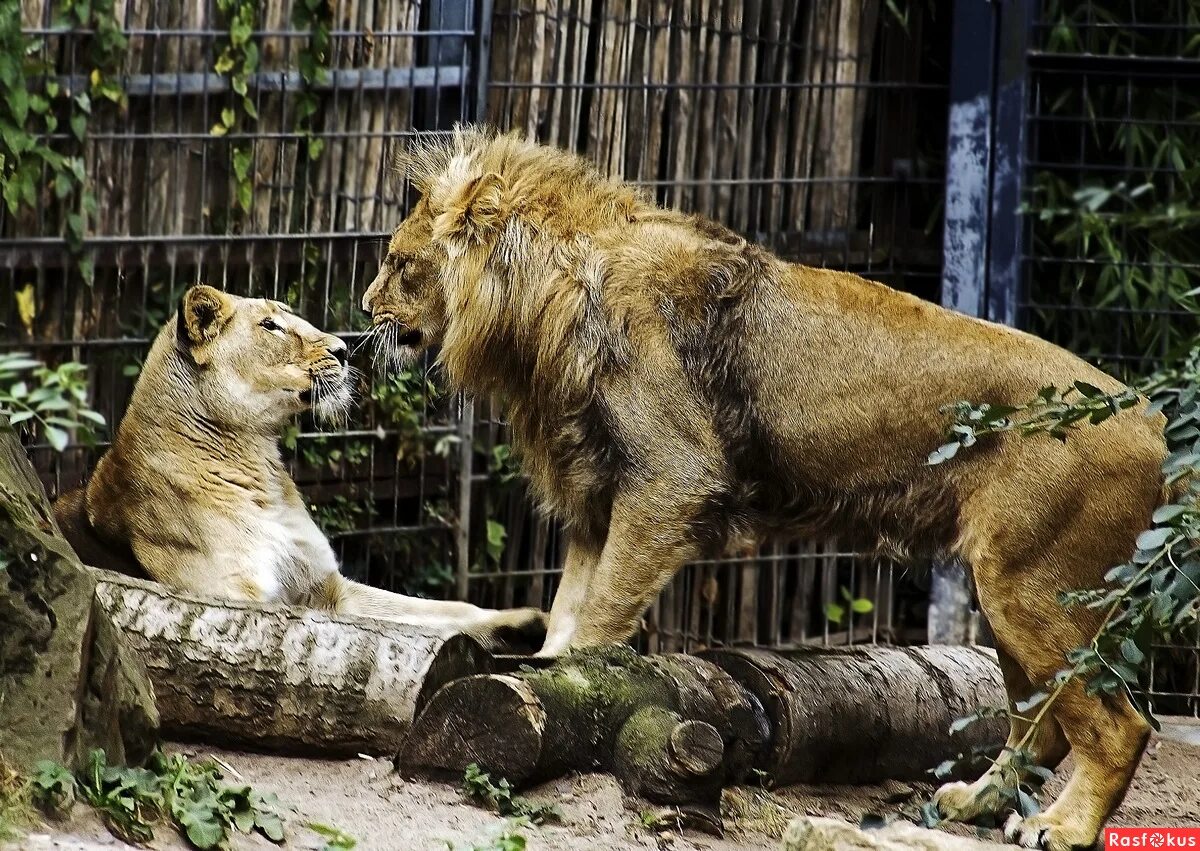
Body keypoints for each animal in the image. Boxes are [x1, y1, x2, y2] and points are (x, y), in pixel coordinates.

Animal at [55, 282, 544, 648]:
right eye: (270, 326)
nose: (344, 349)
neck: (257, 461)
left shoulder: (328, 587)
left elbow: (435, 609)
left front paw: (522, 621)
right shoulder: (232, 596)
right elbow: (392, 626)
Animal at [364, 124, 1171, 844]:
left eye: (400, 263)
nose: (366, 310)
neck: (551, 297)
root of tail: (1156, 421)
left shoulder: (671, 476)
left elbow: (598, 613)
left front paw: (578, 687)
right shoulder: (601, 485)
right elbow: (569, 605)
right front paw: (547, 671)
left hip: (1034, 586)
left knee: (1120, 726)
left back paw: (1061, 827)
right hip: (1008, 591)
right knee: (1042, 725)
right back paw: (975, 803)